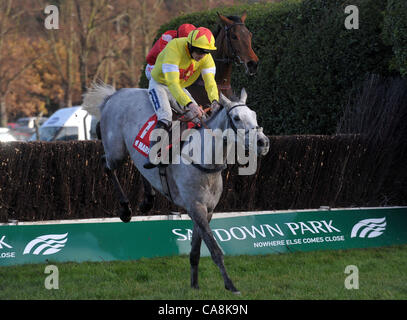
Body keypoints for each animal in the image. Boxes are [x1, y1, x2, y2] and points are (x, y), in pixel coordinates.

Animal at [82, 84, 270, 294]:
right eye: (236, 118)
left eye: (254, 115)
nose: (263, 142)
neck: (204, 159)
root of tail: (113, 95)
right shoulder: (196, 207)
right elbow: (214, 249)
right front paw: (230, 285)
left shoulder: (207, 210)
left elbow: (196, 250)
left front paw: (195, 285)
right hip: (116, 151)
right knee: (106, 164)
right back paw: (125, 209)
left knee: (137, 167)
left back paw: (147, 200)